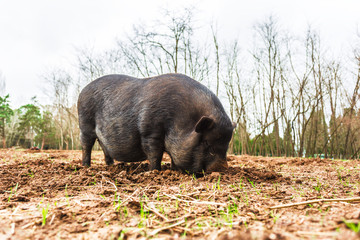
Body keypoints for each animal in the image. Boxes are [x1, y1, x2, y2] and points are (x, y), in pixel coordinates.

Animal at [77, 73, 235, 172]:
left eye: (227, 144)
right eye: (206, 142)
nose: (222, 168)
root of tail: (82, 90)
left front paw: (173, 170)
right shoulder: (150, 131)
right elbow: (155, 153)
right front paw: (155, 171)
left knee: (104, 146)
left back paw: (111, 166)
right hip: (85, 123)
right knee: (86, 145)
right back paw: (86, 167)